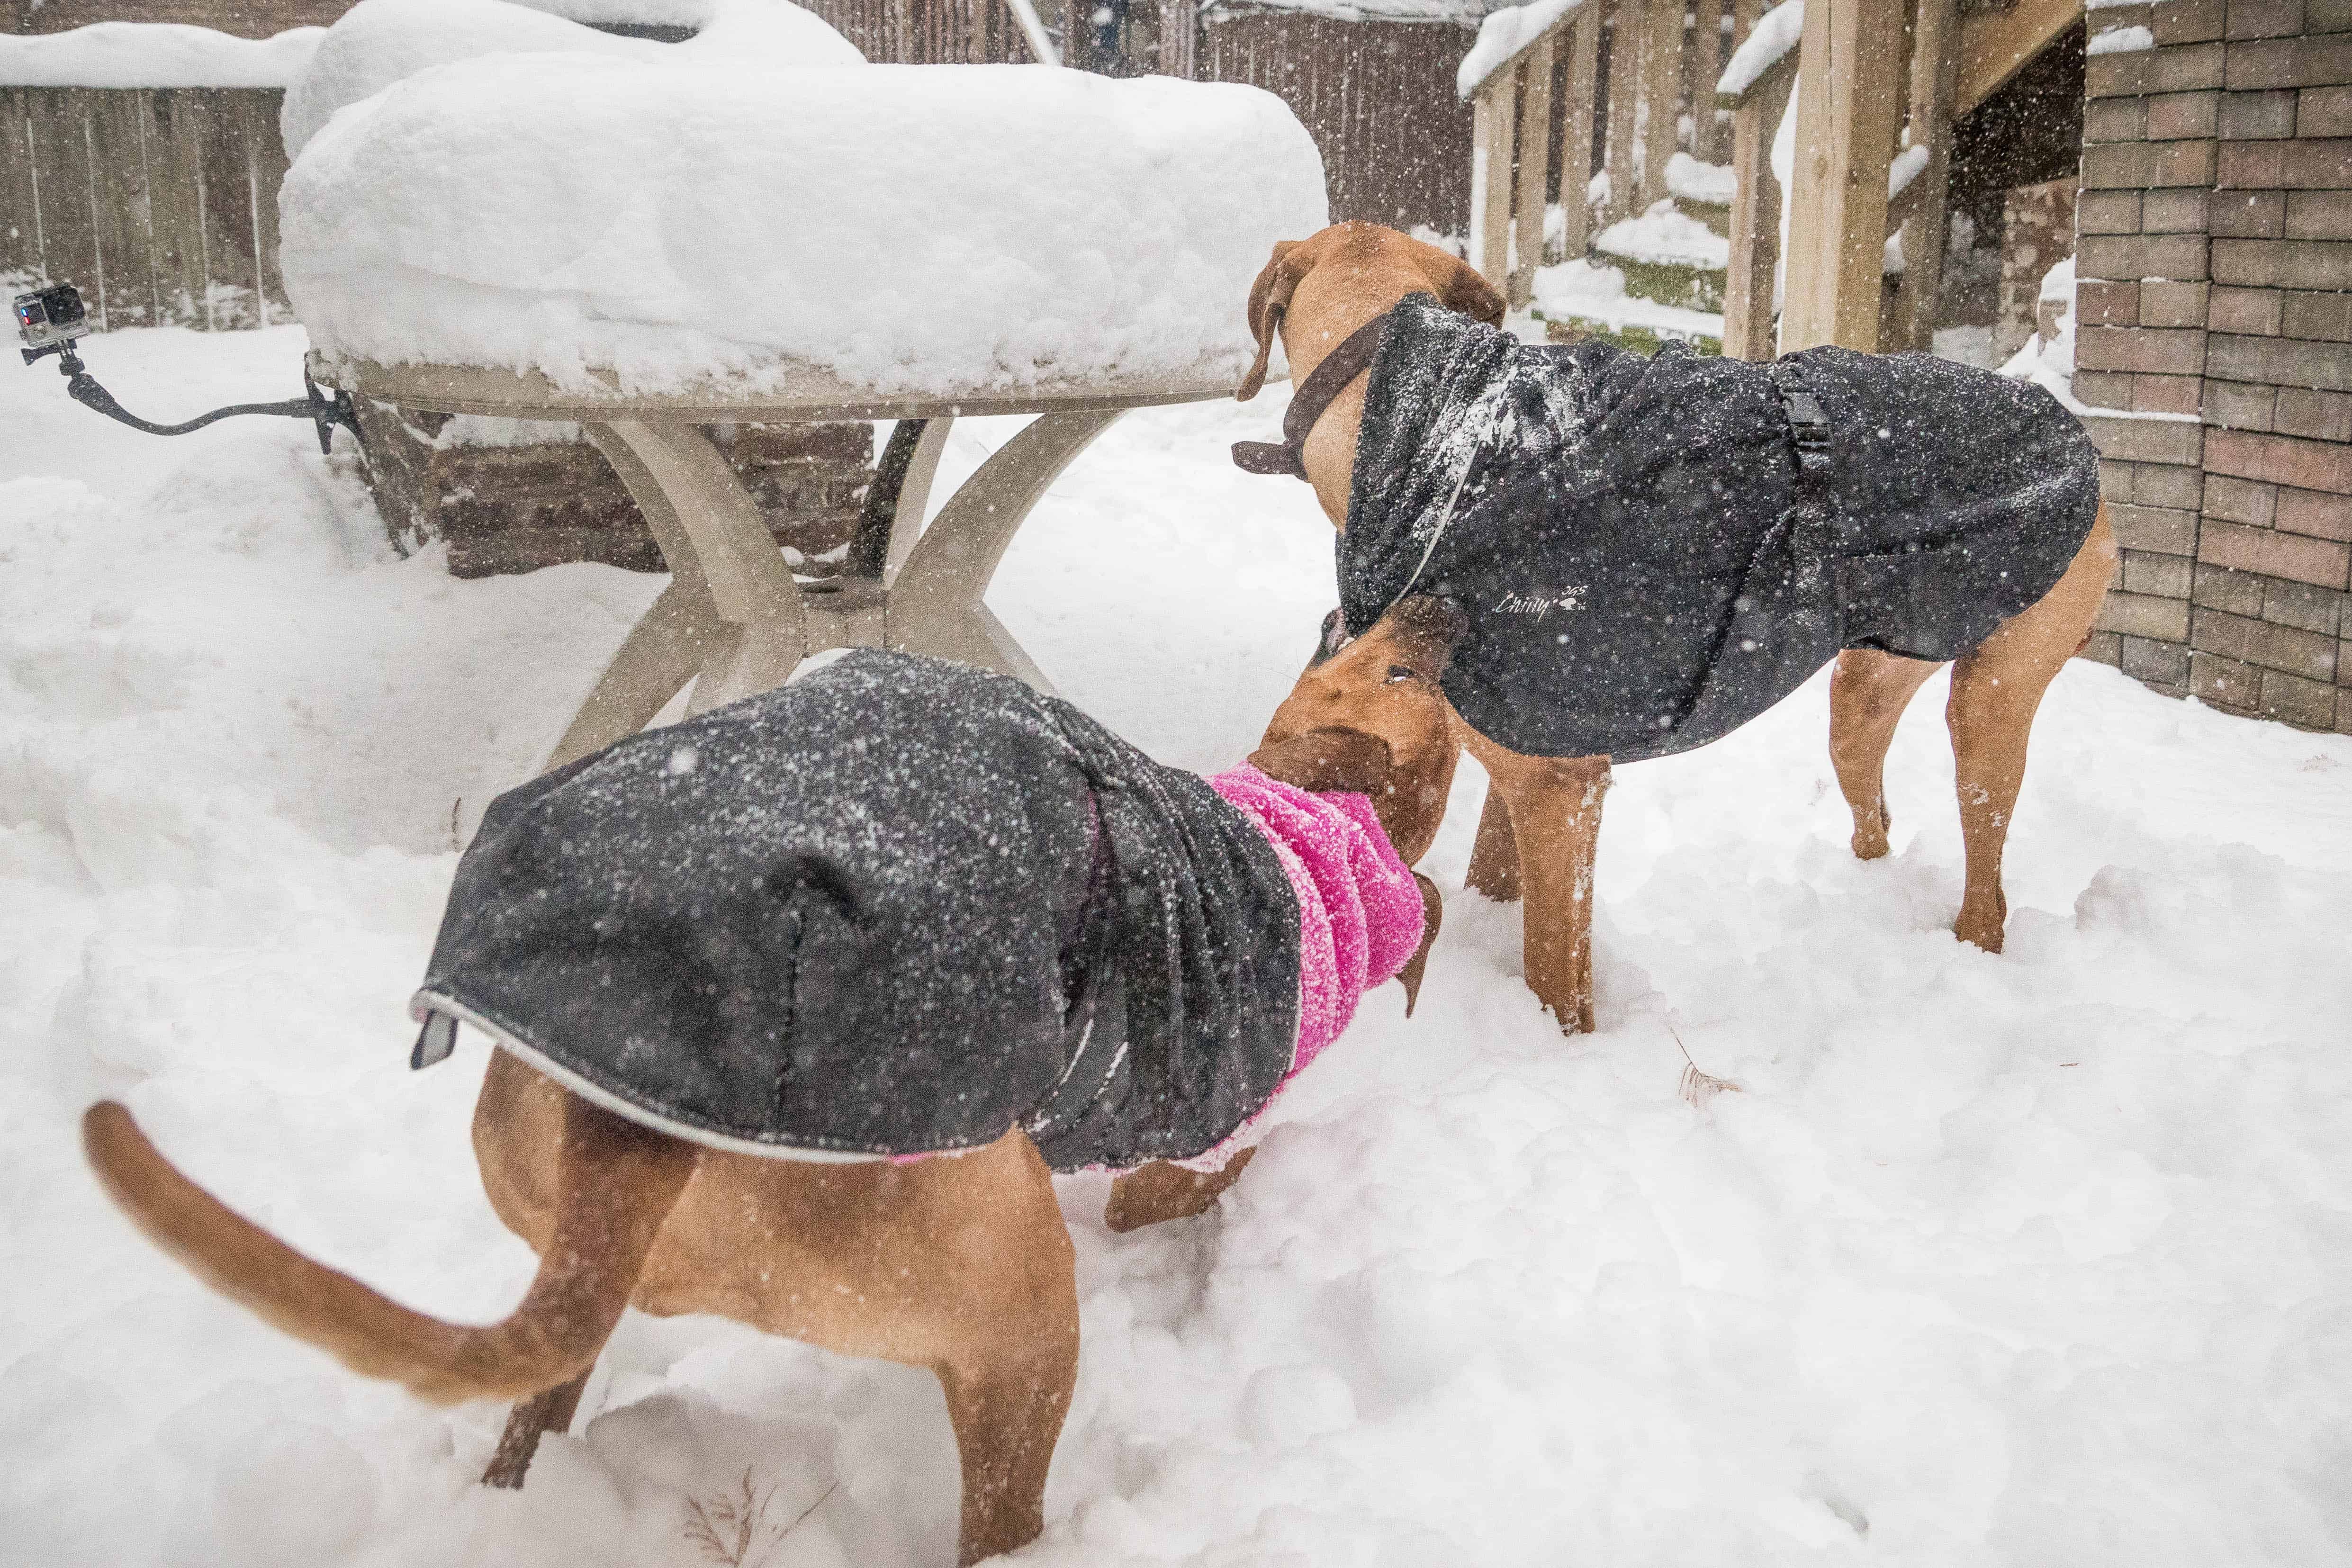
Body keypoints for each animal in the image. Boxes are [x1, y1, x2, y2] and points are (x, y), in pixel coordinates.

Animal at [78, 686, 1449, 1568]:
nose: (1423, 620)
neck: (1303, 833)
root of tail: (632, 1127)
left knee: (536, 1403)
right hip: (1015, 1320)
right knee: (998, 1510)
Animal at [1251, 221, 2136, 1029]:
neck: (1436, 429)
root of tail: (2071, 429)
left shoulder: (1557, 788)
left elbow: (1554, 971)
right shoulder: (1520, 752)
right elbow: (1495, 882)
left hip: (1993, 697)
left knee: (1989, 884)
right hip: (1867, 688)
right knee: (1872, 808)